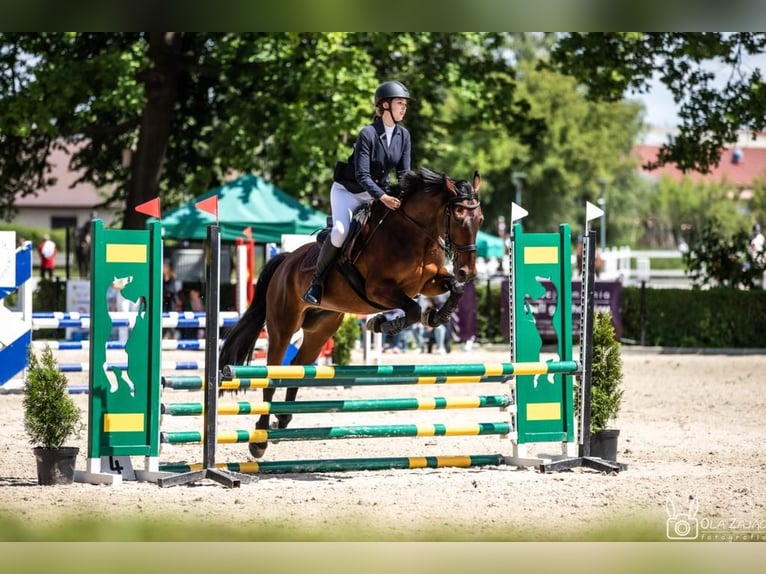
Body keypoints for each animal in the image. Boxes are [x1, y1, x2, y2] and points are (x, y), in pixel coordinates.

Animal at [219, 166, 484, 460]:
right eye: (458, 216)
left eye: (480, 219)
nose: (469, 271)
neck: (413, 233)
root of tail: (285, 260)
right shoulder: (379, 289)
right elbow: (413, 309)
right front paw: (382, 324)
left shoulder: (429, 283)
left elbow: (454, 289)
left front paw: (436, 316)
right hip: (283, 325)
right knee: (272, 374)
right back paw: (260, 439)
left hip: (320, 329)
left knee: (298, 366)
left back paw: (284, 419)